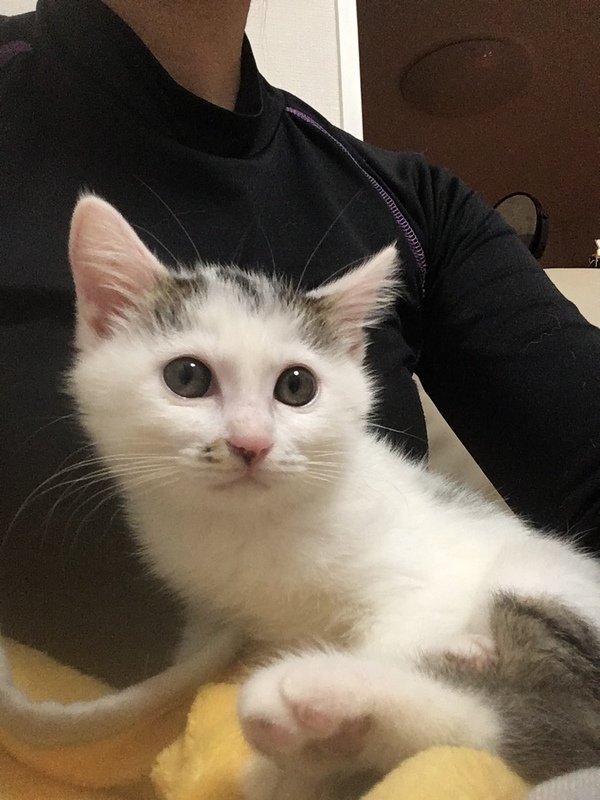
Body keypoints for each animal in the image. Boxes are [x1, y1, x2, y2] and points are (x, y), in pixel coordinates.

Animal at [67, 194, 600, 799]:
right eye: (187, 377)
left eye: (296, 386)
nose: (251, 443)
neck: (254, 529)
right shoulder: (211, 610)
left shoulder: (425, 581)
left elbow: (407, 637)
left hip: (537, 578)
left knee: (550, 721)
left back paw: (320, 698)